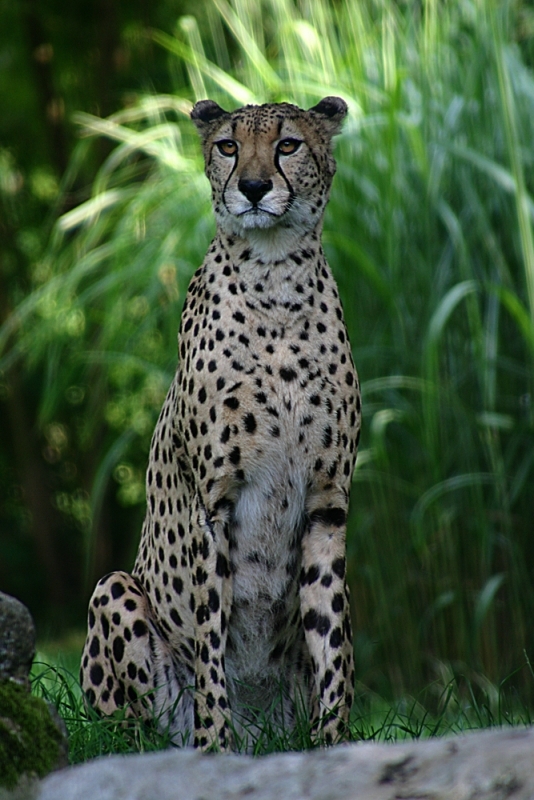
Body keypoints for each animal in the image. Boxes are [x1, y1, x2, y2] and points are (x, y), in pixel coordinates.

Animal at [80, 97, 364, 752]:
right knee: (124, 733)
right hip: (114, 592)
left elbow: (331, 642)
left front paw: (334, 743)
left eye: (288, 144)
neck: (276, 282)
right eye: (228, 146)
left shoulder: (328, 504)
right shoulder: (214, 504)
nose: (254, 188)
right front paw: (215, 746)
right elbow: (212, 643)